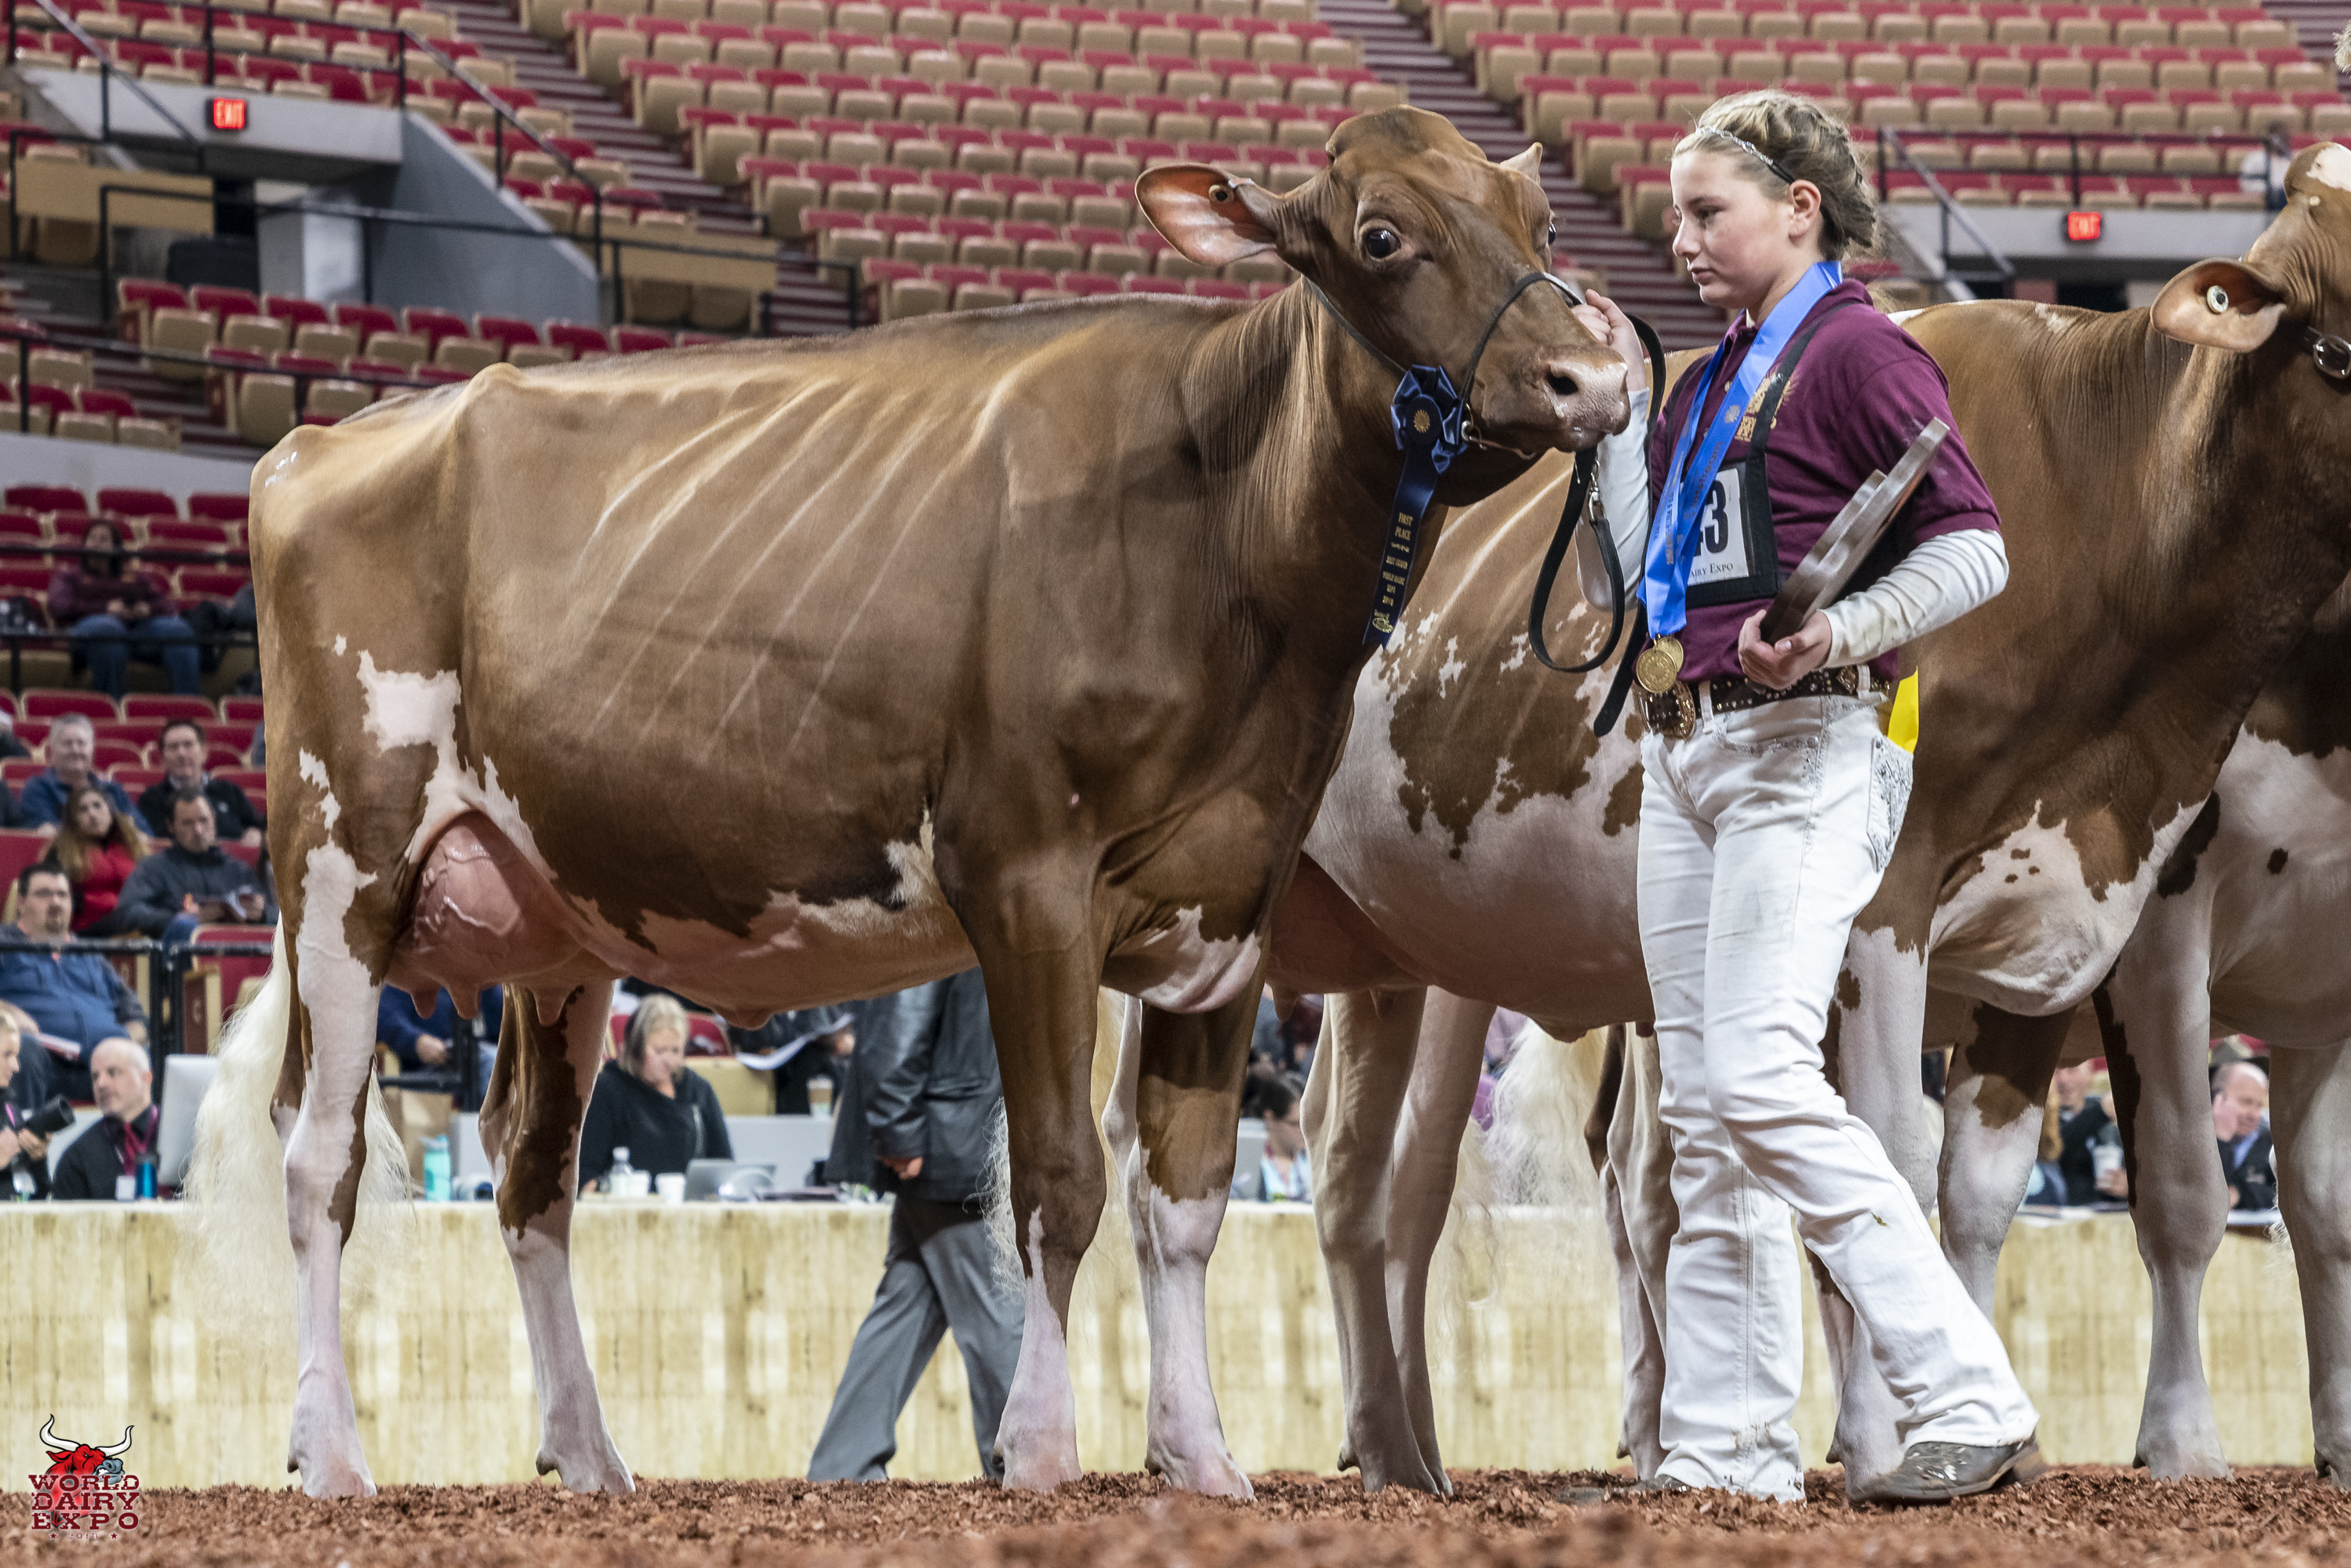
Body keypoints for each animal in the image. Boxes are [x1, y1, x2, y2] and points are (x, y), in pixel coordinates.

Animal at [185, 106, 1632, 1502]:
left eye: (1539, 217)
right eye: (1381, 236)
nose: (1598, 377)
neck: (1221, 536)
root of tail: (321, 440)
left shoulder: (1232, 902)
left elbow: (1186, 1196)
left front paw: (1203, 1458)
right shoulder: (1026, 876)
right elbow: (1059, 1180)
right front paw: (1042, 1451)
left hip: (553, 917)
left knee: (531, 1167)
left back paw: (589, 1456)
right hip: (341, 863)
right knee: (320, 1157)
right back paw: (332, 1455)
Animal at [1262, 140, 2351, 1495]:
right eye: (2341, 351)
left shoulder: (2051, 921)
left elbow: (1972, 1188)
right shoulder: (1934, 910)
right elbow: (1914, 1153)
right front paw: (1935, 1441)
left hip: (1418, 943)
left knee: (1424, 1178)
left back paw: (1410, 1446)